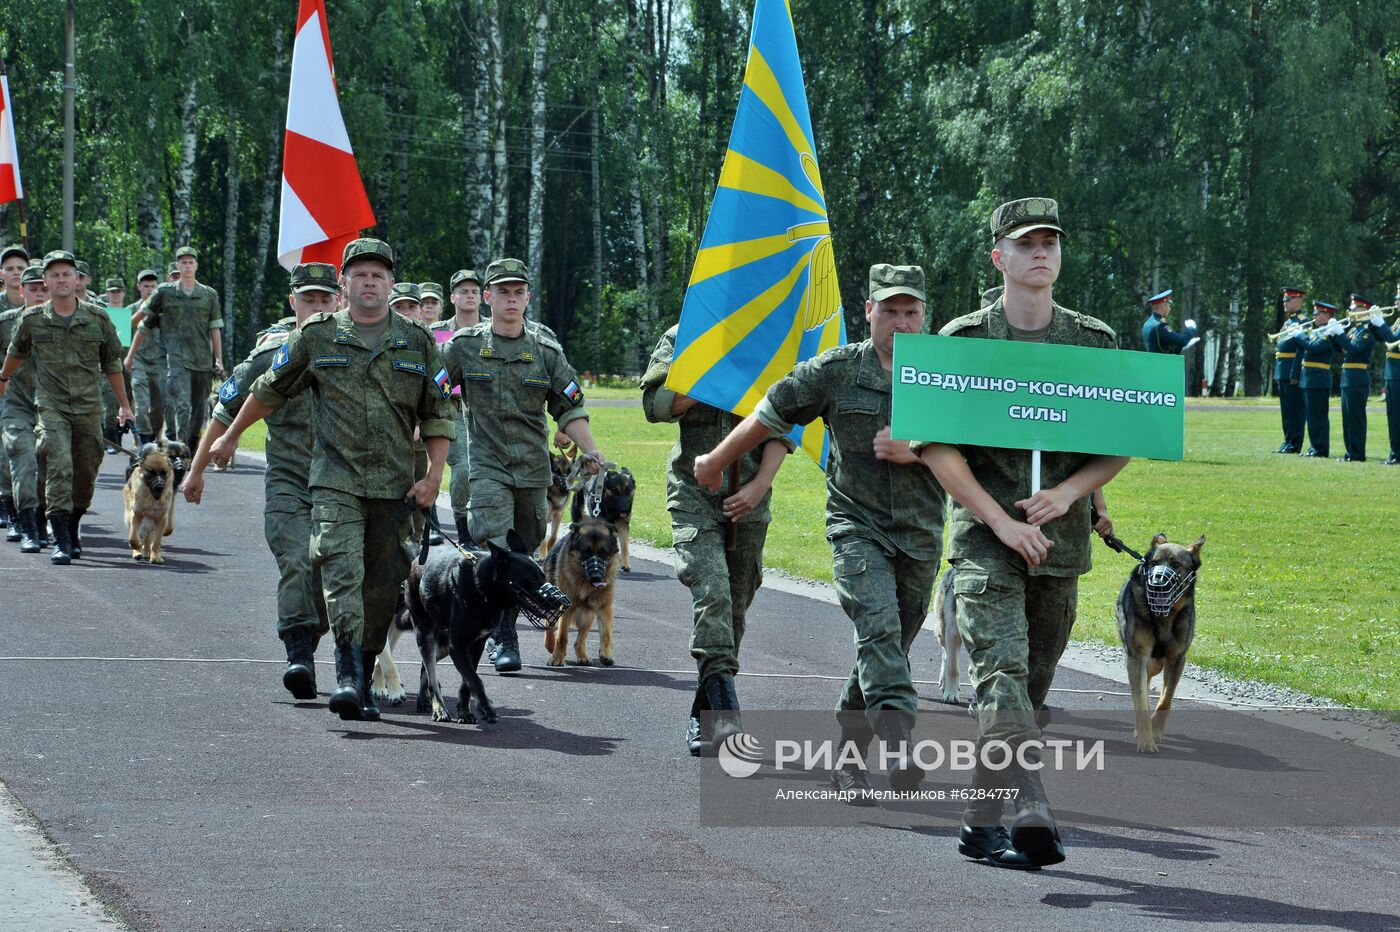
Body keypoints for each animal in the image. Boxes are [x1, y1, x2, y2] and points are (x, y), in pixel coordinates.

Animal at [375, 528, 571, 716]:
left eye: (543, 576)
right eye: (532, 579)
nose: (559, 601)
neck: (483, 590)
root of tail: (417, 560)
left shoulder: (476, 645)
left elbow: (467, 682)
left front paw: (464, 711)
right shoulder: (458, 646)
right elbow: (475, 680)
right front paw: (485, 708)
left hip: (442, 643)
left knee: (426, 668)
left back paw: (425, 700)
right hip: (426, 636)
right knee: (430, 670)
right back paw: (437, 707)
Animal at [540, 517, 618, 663]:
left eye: (603, 553)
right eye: (586, 552)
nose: (597, 576)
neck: (585, 583)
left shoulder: (605, 607)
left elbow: (606, 634)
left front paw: (606, 654)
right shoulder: (566, 609)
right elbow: (562, 636)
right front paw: (557, 657)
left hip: (588, 615)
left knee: (580, 639)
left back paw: (582, 655)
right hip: (553, 605)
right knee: (549, 624)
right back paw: (550, 645)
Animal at [1114, 528, 1204, 750]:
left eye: (1176, 564)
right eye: (1154, 563)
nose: (1157, 583)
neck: (1164, 615)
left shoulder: (1177, 658)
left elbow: (1165, 700)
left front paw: (1155, 730)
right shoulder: (1137, 657)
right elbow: (1141, 701)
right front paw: (1146, 739)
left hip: (1157, 664)